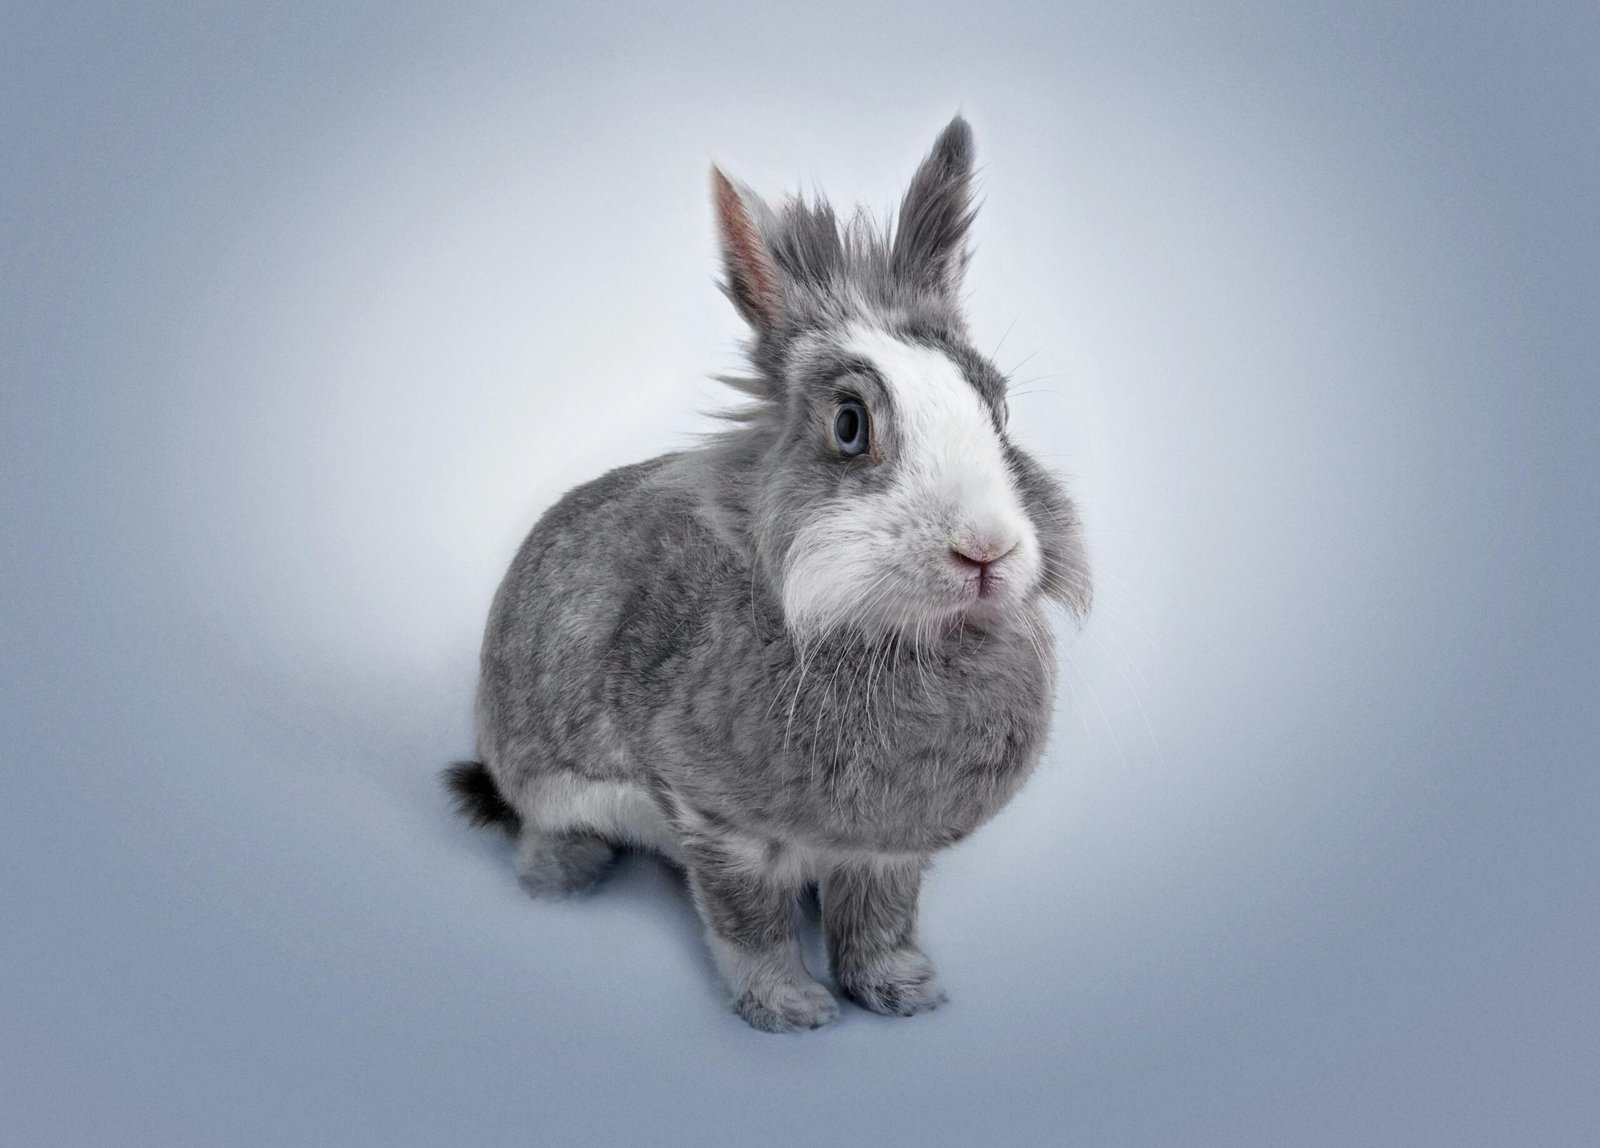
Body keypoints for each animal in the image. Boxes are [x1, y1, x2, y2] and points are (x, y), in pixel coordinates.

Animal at [445, 116, 1090, 1033]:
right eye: (850, 425)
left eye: (999, 409)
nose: (987, 551)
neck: (888, 637)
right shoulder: (719, 826)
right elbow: (748, 923)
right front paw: (791, 1010)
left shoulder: (885, 853)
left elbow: (880, 921)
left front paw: (903, 993)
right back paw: (562, 883)